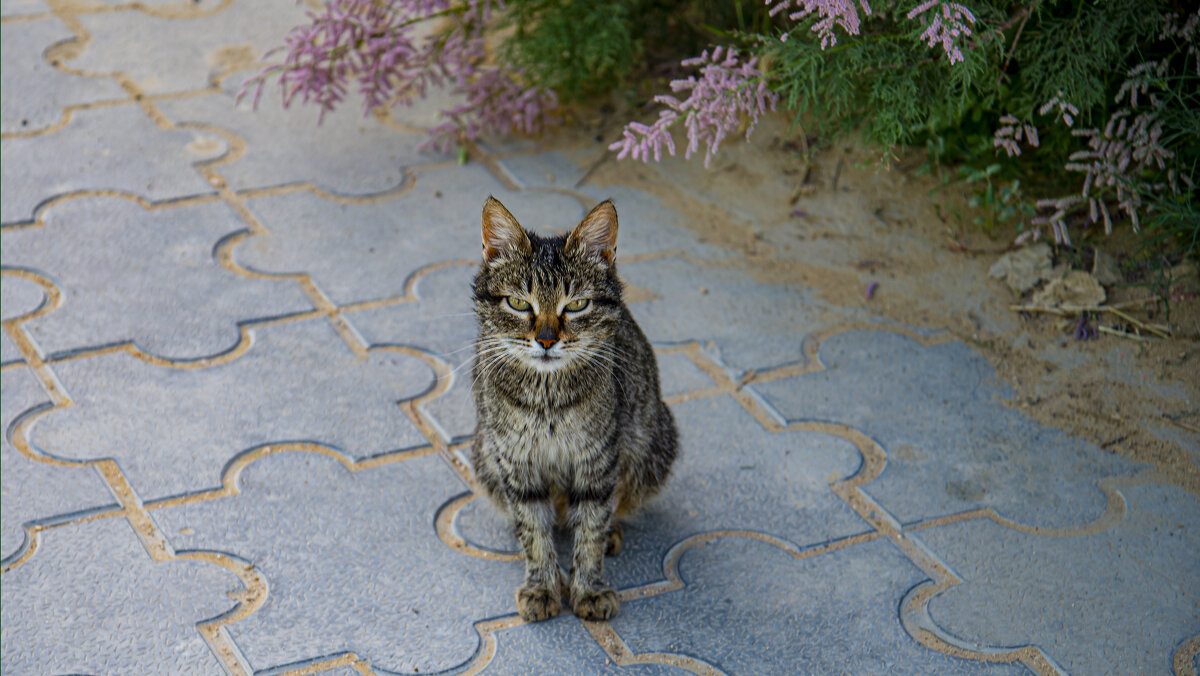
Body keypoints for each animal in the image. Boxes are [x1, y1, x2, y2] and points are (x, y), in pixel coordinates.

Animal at [465, 196, 676, 624]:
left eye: (577, 305)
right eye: (518, 303)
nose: (546, 340)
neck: (547, 397)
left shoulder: (598, 459)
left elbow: (591, 527)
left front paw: (589, 588)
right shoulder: (515, 462)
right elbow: (533, 529)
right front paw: (542, 586)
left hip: (654, 442)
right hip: (483, 452)